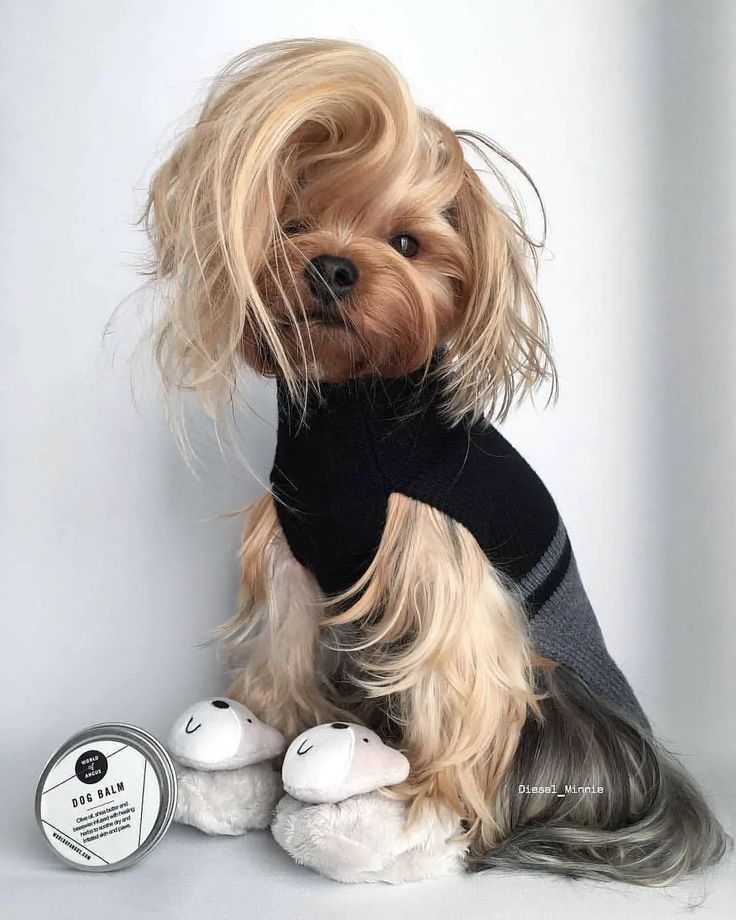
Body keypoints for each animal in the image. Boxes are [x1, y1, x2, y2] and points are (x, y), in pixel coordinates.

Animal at [145, 37, 732, 884]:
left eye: (407, 244)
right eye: (292, 224)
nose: (330, 268)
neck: (353, 404)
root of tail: (655, 775)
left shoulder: (449, 582)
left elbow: (450, 696)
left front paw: (412, 811)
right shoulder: (293, 569)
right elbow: (283, 664)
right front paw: (258, 775)